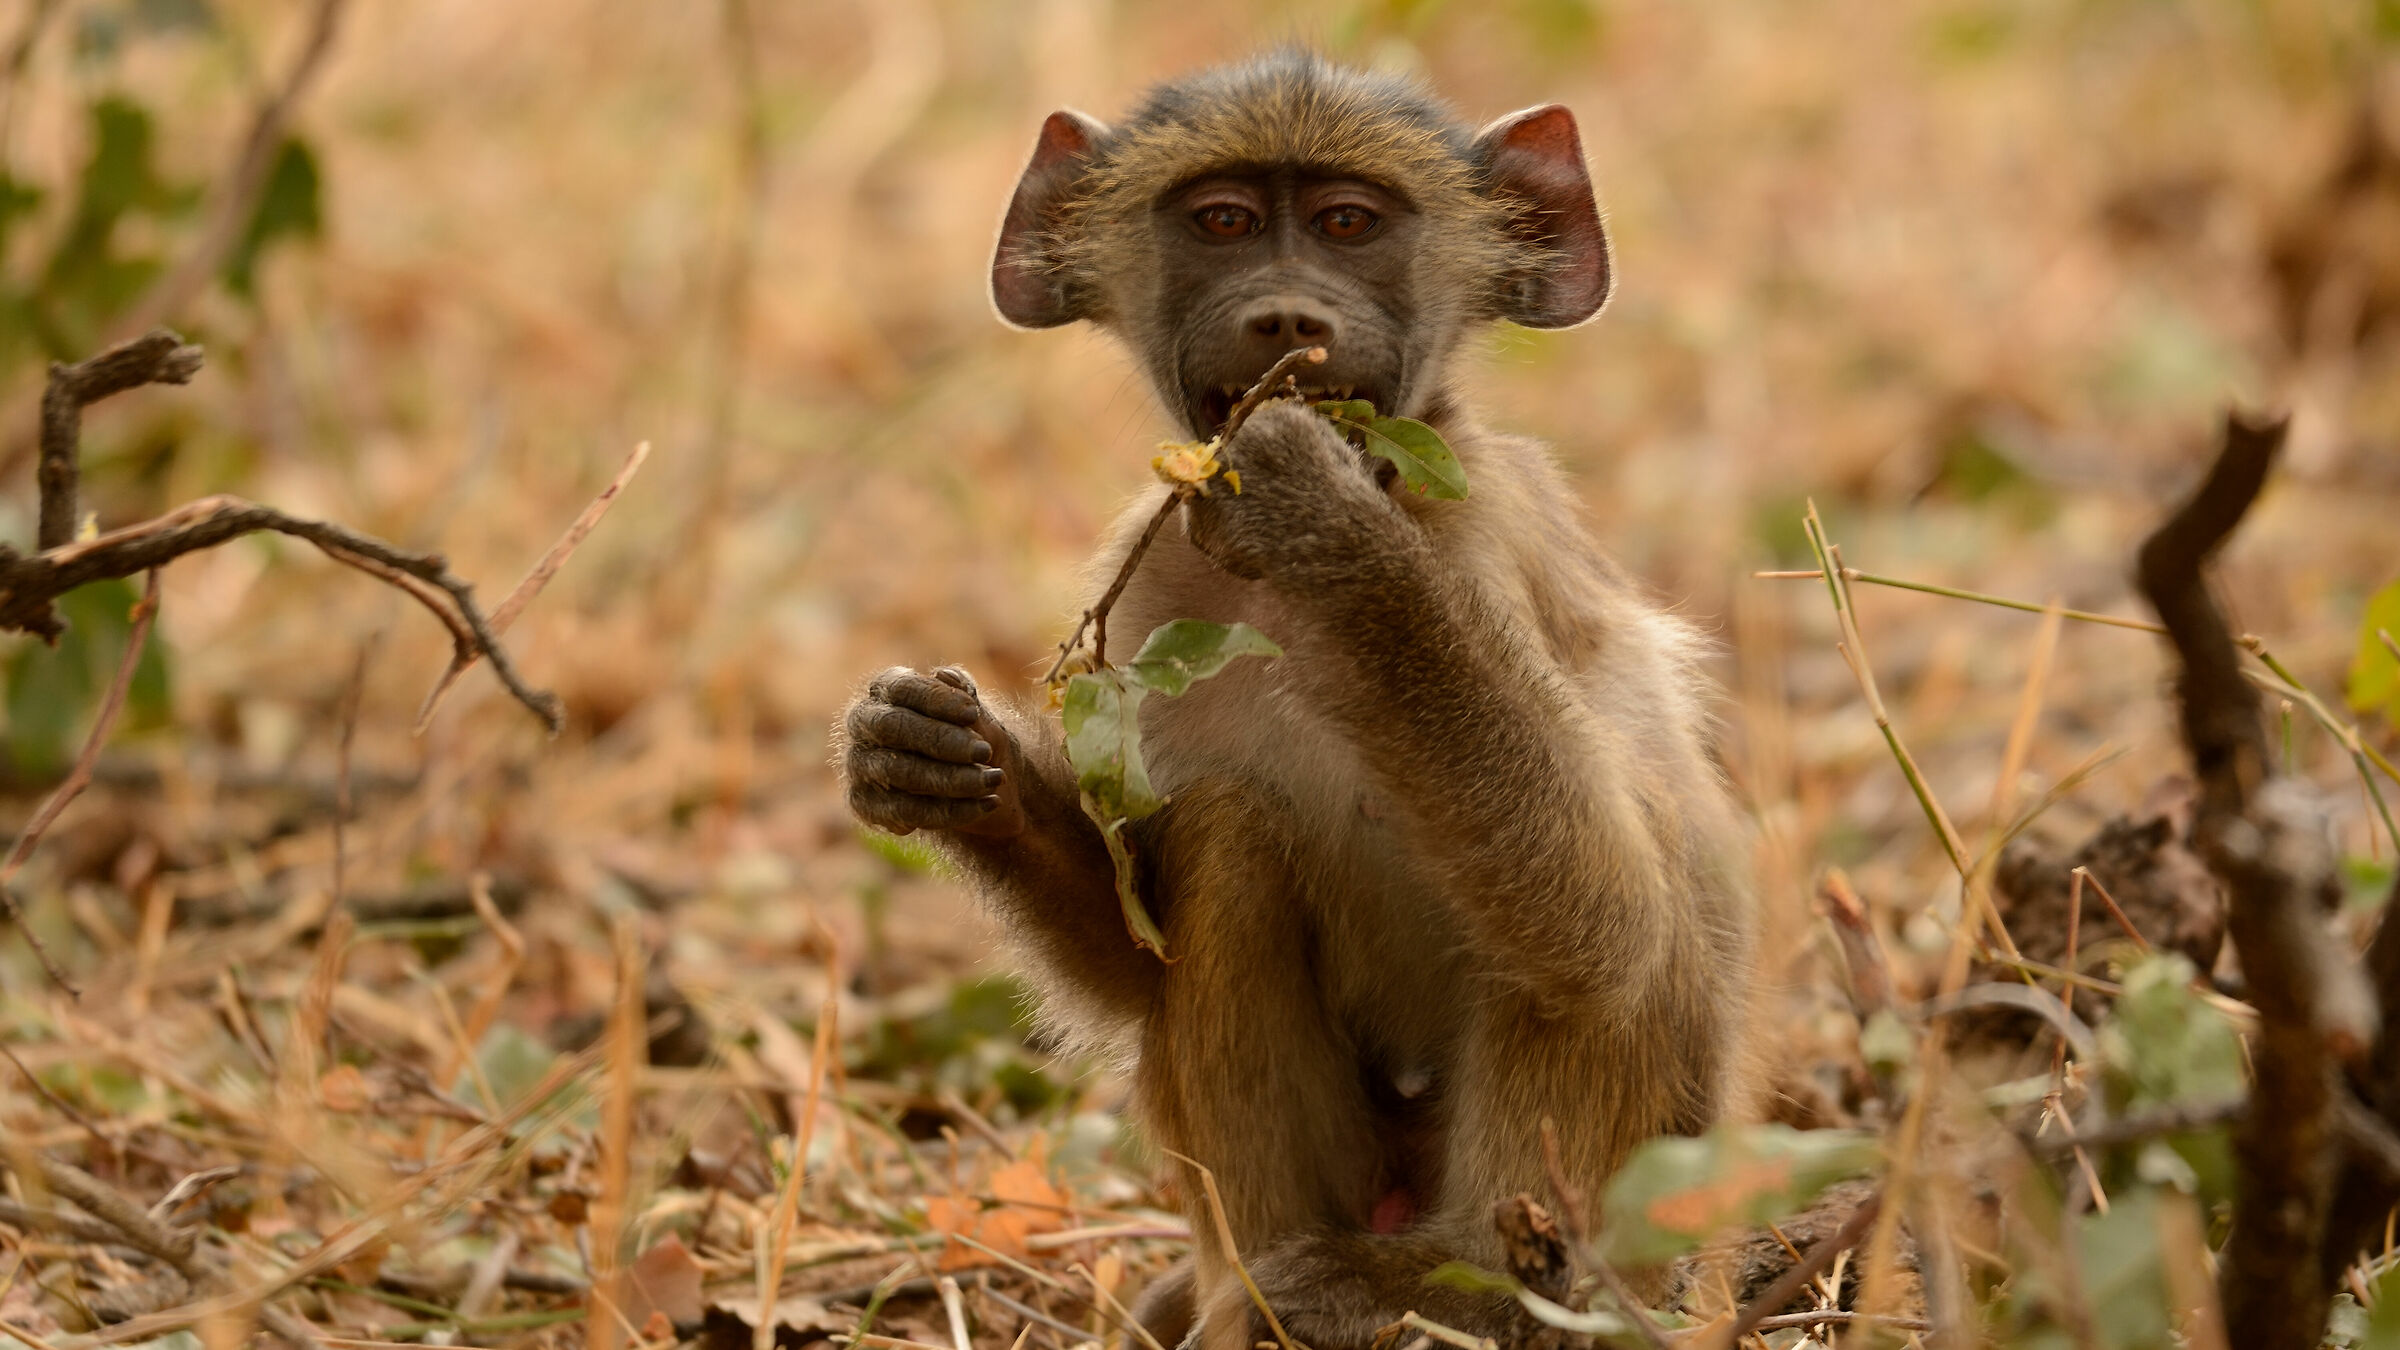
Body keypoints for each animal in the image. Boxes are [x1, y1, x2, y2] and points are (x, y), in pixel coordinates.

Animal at [838, 51, 1752, 1350]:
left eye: (1346, 225)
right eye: (1224, 222)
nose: (1286, 320)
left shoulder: (1491, 536)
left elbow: (1611, 921)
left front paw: (1320, 517)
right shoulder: (1153, 596)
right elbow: (1140, 956)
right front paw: (946, 762)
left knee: (1595, 961)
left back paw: (1462, 1287)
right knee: (1233, 837)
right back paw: (1251, 1293)